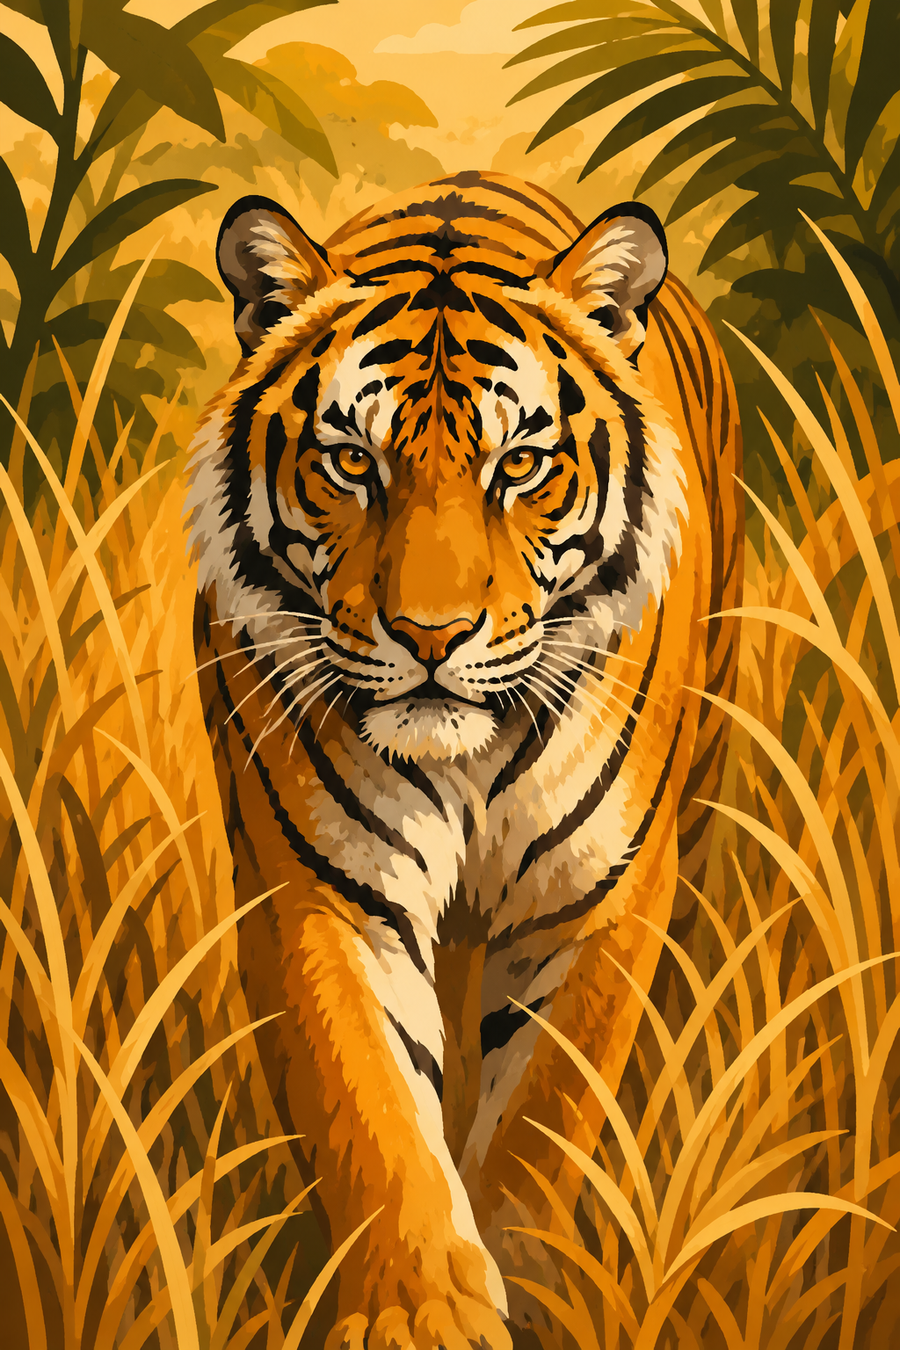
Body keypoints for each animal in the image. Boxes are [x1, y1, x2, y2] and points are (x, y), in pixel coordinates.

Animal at [187, 170, 741, 1349]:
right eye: (352, 462)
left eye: (519, 465)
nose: (430, 636)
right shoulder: (320, 892)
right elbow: (374, 1107)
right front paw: (420, 1312)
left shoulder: (599, 899)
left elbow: (542, 1125)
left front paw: (528, 1289)